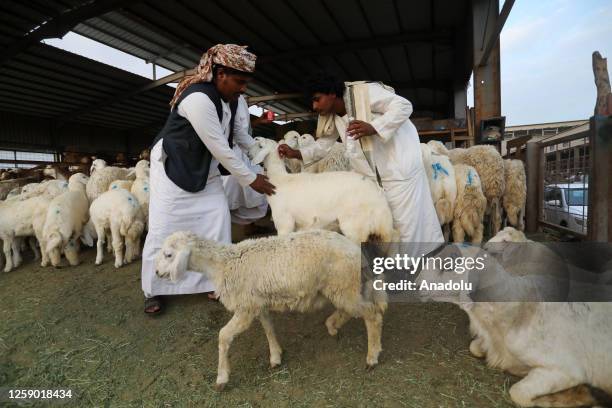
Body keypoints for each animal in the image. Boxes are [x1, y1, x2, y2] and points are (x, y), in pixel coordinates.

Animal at [155, 230, 388, 388]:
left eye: (168, 255)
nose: (157, 273)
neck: (223, 264)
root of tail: (355, 250)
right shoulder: (258, 303)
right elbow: (268, 327)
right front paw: (276, 356)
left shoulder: (245, 307)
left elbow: (223, 336)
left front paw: (222, 377)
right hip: (341, 287)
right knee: (353, 310)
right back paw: (332, 325)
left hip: (343, 284)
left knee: (372, 315)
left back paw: (372, 357)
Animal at [246, 137, 394, 245]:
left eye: (259, 145)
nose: (247, 152)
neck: (279, 180)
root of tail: (377, 194)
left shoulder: (284, 223)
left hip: (355, 225)